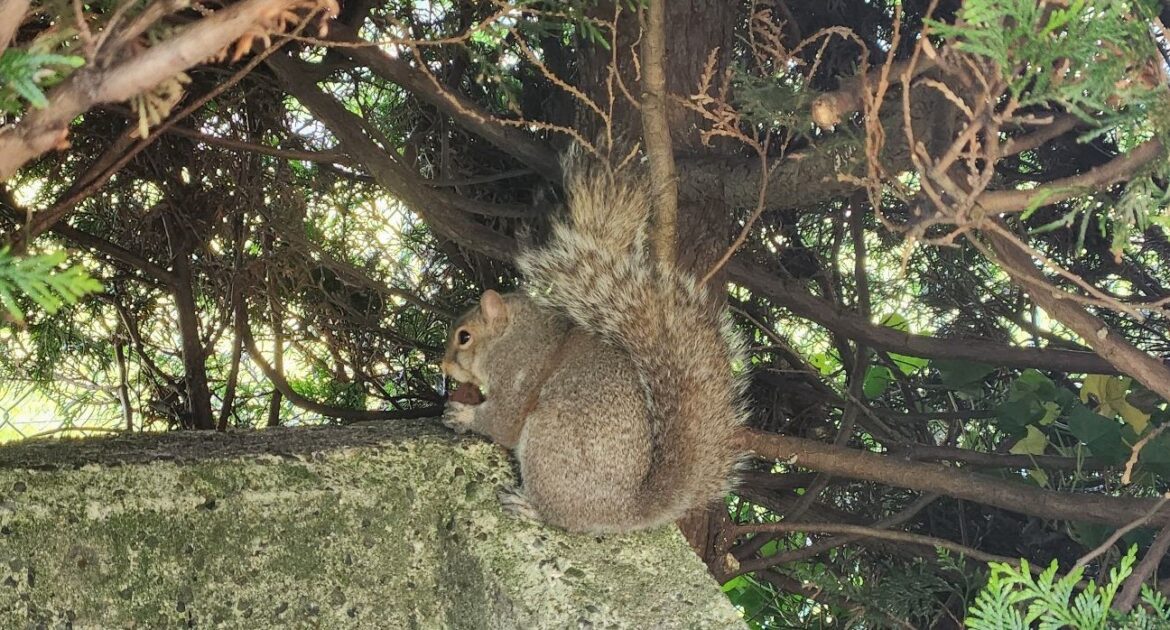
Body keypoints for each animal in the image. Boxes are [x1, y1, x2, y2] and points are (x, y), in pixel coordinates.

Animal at [440, 164, 749, 534]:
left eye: (465, 337)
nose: (443, 366)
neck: (516, 334)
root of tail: (624, 511)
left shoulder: (518, 373)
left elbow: (501, 422)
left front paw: (462, 415)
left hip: (549, 439)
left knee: (560, 516)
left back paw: (528, 506)